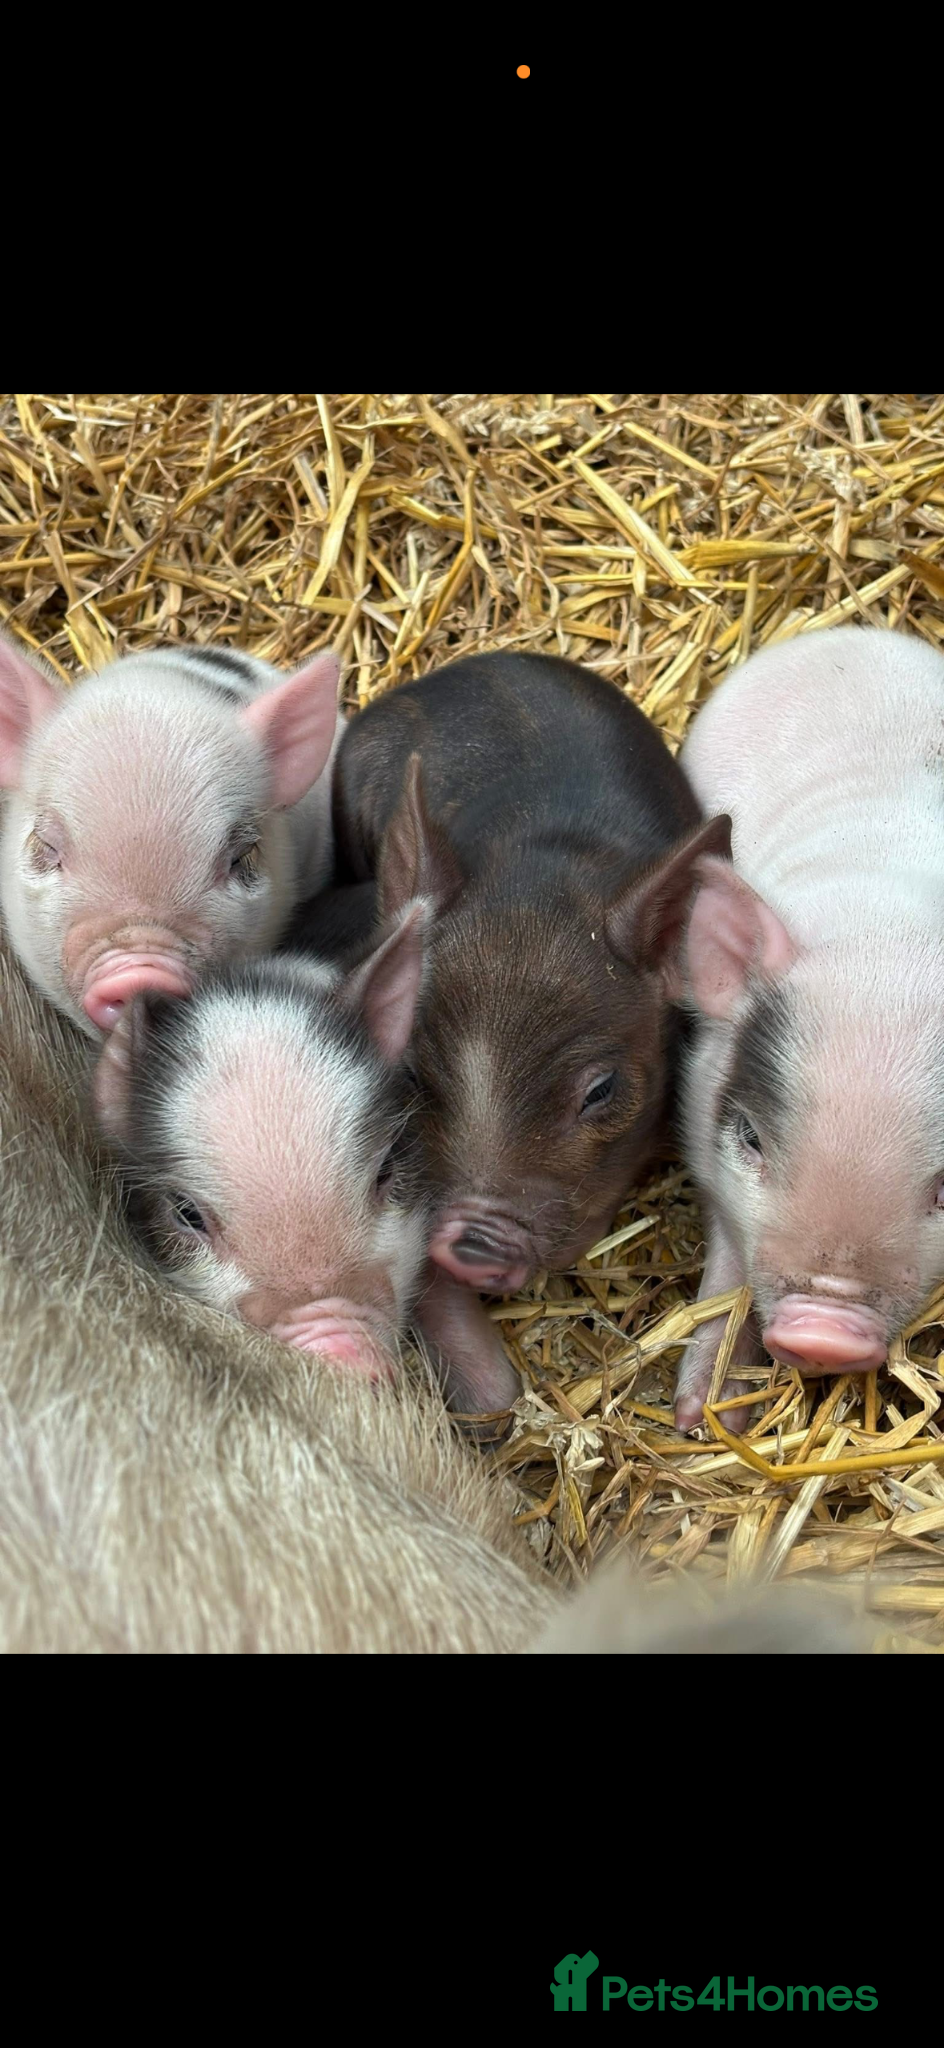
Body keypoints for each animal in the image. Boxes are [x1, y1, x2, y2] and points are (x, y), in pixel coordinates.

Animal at [673, 625, 944, 1434]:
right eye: (752, 1137)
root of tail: (849, 634)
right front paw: (701, 1416)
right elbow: (726, 1265)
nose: (822, 1333)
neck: (890, 932)